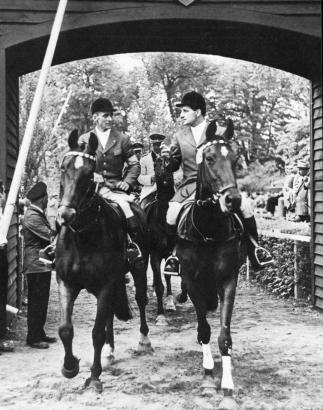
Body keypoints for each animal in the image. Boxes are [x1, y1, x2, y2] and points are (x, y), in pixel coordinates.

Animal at [55, 130, 153, 392]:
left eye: (89, 174)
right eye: (63, 167)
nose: (65, 215)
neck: (83, 237)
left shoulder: (107, 285)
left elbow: (96, 333)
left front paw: (94, 376)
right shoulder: (66, 283)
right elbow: (65, 329)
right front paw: (70, 367)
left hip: (139, 269)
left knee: (141, 300)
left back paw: (144, 340)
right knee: (109, 315)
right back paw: (110, 352)